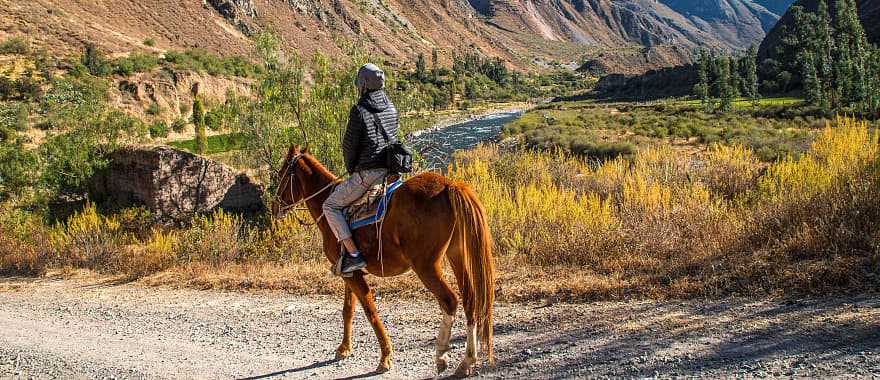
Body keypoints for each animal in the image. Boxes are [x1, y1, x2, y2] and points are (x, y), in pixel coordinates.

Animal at [272, 146, 496, 378]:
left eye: (281, 174)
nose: (273, 206)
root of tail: (450, 186)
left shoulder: (353, 275)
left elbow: (370, 311)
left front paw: (385, 357)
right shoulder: (349, 271)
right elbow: (348, 310)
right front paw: (344, 349)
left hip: (426, 267)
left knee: (449, 301)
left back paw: (442, 355)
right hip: (457, 257)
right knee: (471, 301)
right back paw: (466, 362)